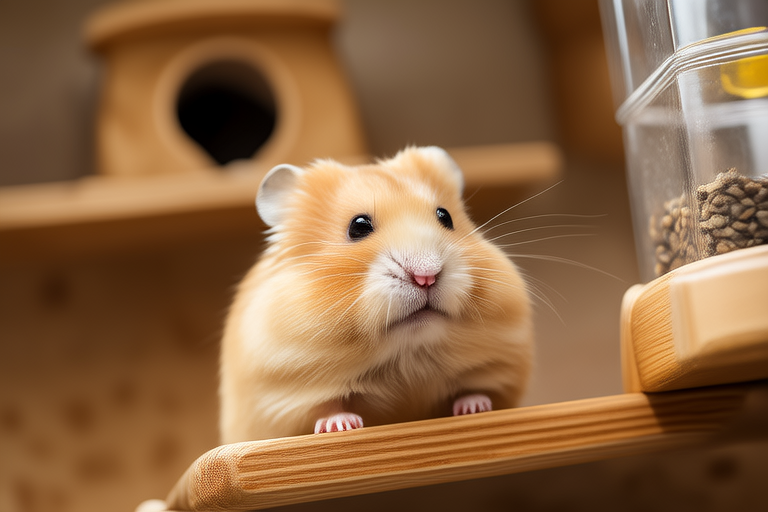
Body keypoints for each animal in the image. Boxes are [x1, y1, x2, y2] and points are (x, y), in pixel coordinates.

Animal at [219, 146, 533, 443]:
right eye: (358, 226)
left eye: (445, 217)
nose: (426, 276)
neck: (409, 355)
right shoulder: (284, 389)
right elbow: (327, 409)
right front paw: (342, 426)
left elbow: (473, 390)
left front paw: (476, 408)